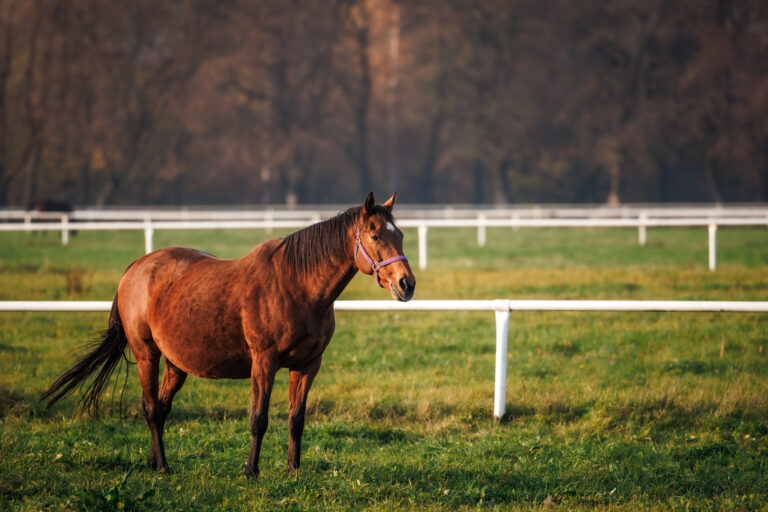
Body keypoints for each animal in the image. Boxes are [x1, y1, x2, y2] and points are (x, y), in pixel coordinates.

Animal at [39, 192, 416, 477]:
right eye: (376, 236)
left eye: (400, 236)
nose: (406, 284)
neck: (296, 285)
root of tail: (136, 268)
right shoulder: (263, 363)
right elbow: (258, 419)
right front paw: (251, 471)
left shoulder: (308, 365)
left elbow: (296, 419)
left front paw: (292, 469)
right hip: (147, 354)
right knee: (149, 408)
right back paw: (163, 467)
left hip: (176, 364)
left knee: (161, 408)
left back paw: (152, 461)